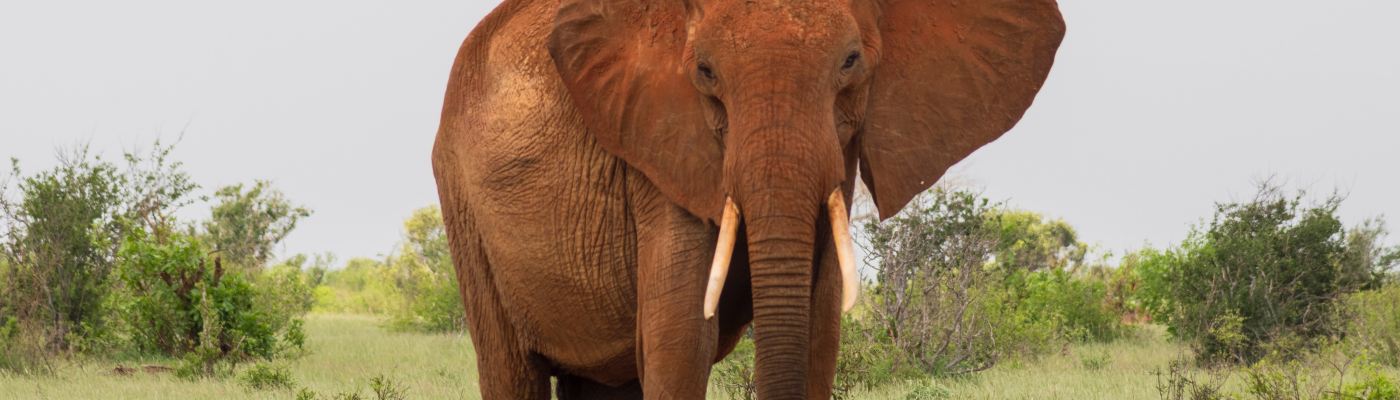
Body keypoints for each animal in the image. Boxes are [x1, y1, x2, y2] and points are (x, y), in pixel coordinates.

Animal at [430, 0, 1065, 398]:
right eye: (705, 71)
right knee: (511, 371)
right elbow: (682, 339)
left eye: (851, 62)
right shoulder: (661, 146)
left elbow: (817, 334)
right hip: (462, 203)